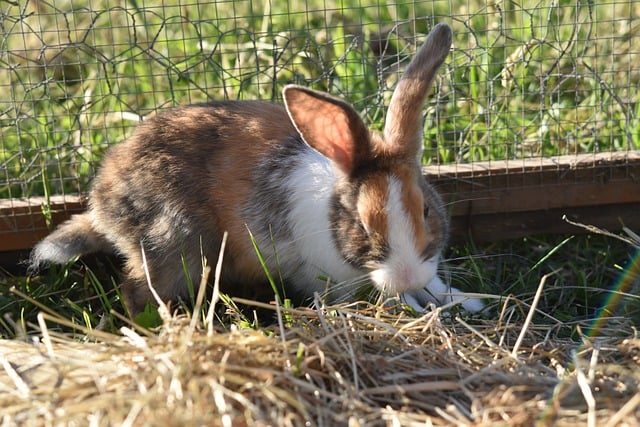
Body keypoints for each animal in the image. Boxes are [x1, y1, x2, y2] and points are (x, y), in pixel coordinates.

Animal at [28, 23, 480, 318]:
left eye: (426, 211)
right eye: (364, 226)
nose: (406, 277)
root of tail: (100, 205)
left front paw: (461, 300)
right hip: (172, 247)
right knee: (138, 291)